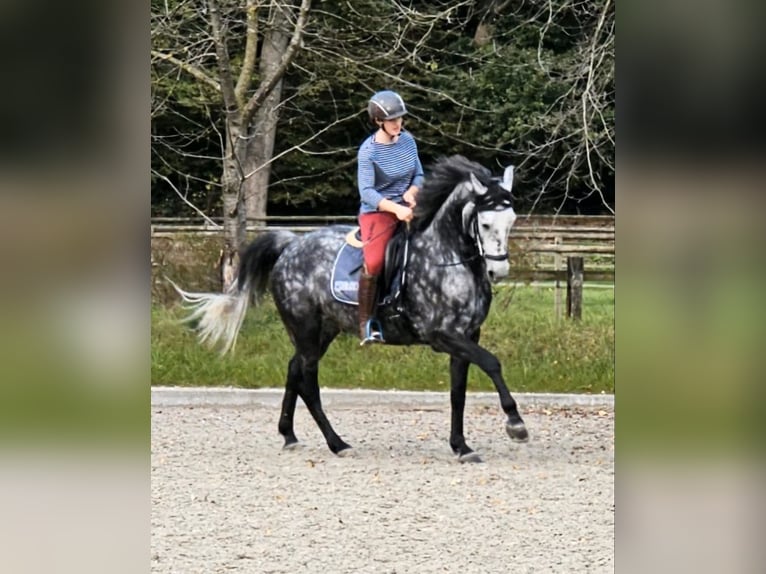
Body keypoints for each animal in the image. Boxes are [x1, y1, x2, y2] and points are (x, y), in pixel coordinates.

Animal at [172, 155, 528, 462]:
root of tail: (291, 245)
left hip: (322, 330)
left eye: (511, 220)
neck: (446, 256)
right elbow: (492, 363)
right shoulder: (442, 335)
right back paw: (337, 443)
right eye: (485, 223)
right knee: (308, 380)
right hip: (305, 326)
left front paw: (461, 446)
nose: (499, 271)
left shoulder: (466, 335)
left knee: (294, 368)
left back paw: (289, 436)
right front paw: (515, 423)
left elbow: (458, 392)